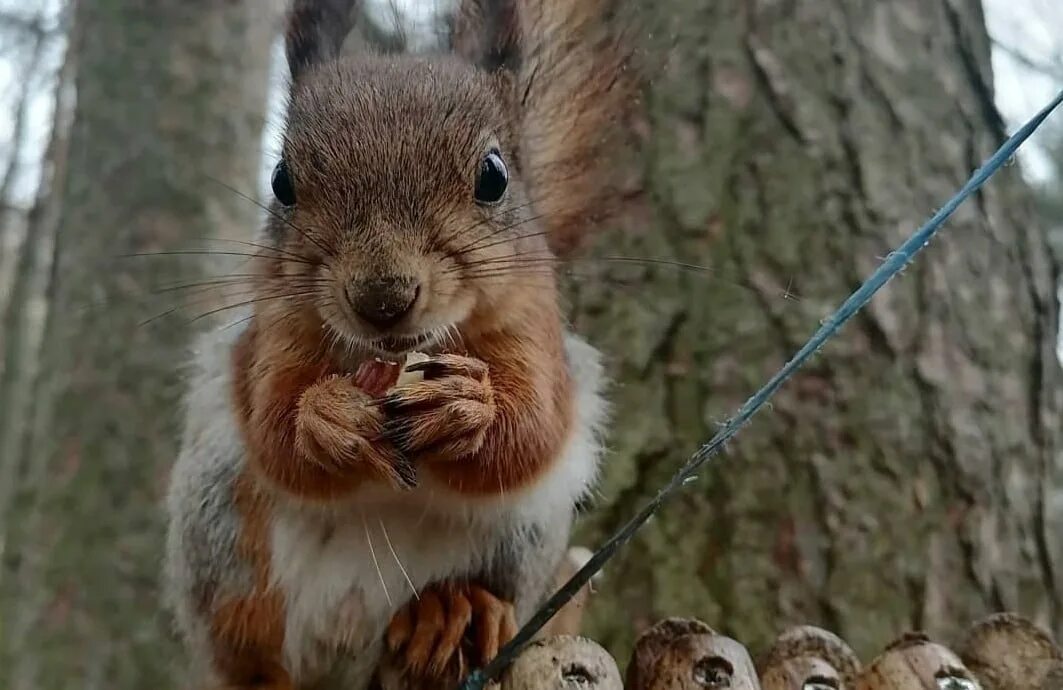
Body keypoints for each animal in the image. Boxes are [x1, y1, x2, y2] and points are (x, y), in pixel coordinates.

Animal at [161, 0, 633, 684]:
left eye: (494, 176)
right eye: (281, 181)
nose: (381, 298)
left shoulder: (532, 324)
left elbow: (533, 429)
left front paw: (468, 407)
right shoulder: (274, 325)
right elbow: (275, 424)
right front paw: (329, 417)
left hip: (525, 539)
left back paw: (454, 609)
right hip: (222, 533)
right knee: (248, 647)